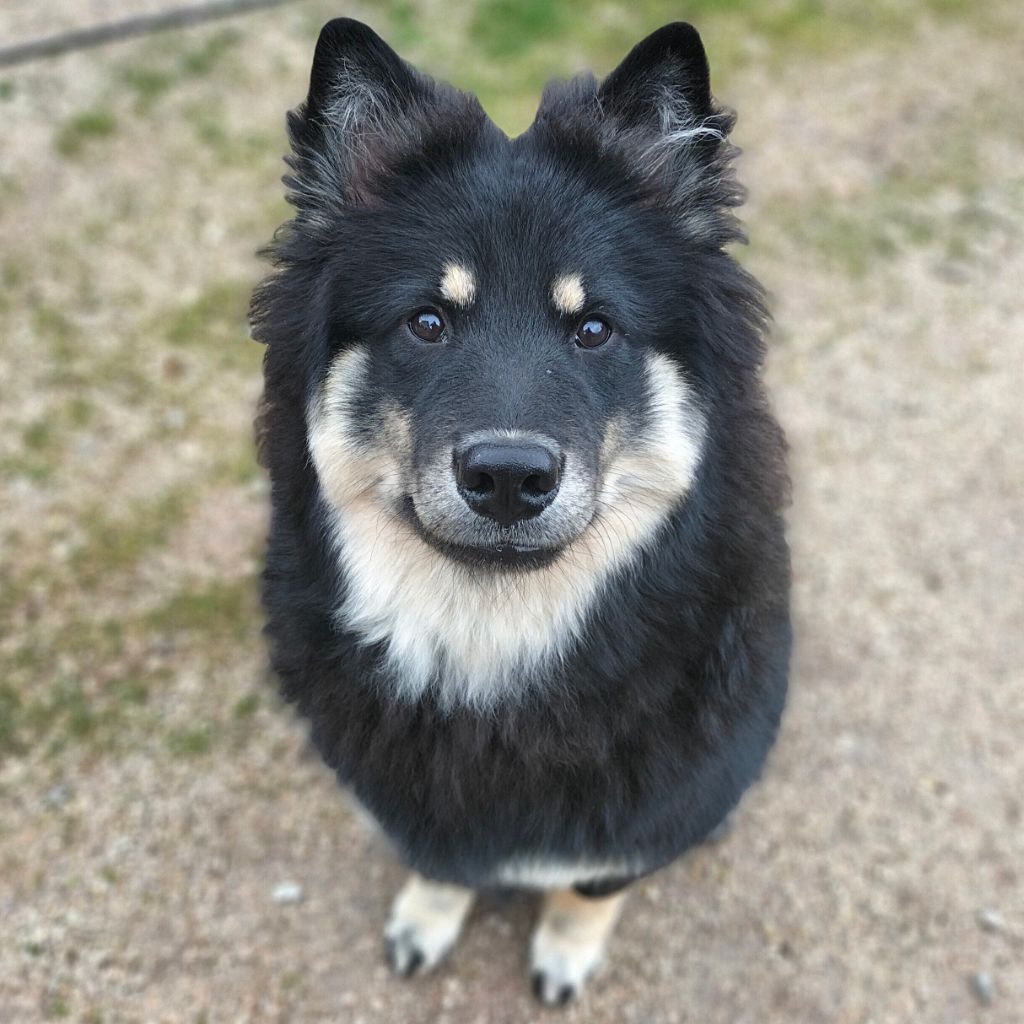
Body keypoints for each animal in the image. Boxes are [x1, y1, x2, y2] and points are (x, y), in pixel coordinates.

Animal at [249, 18, 790, 1007]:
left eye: (594, 328)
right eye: (427, 322)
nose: (506, 476)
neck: (495, 653)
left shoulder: (649, 819)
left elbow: (586, 886)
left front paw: (566, 951)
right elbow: (441, 861)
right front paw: (427, 917)